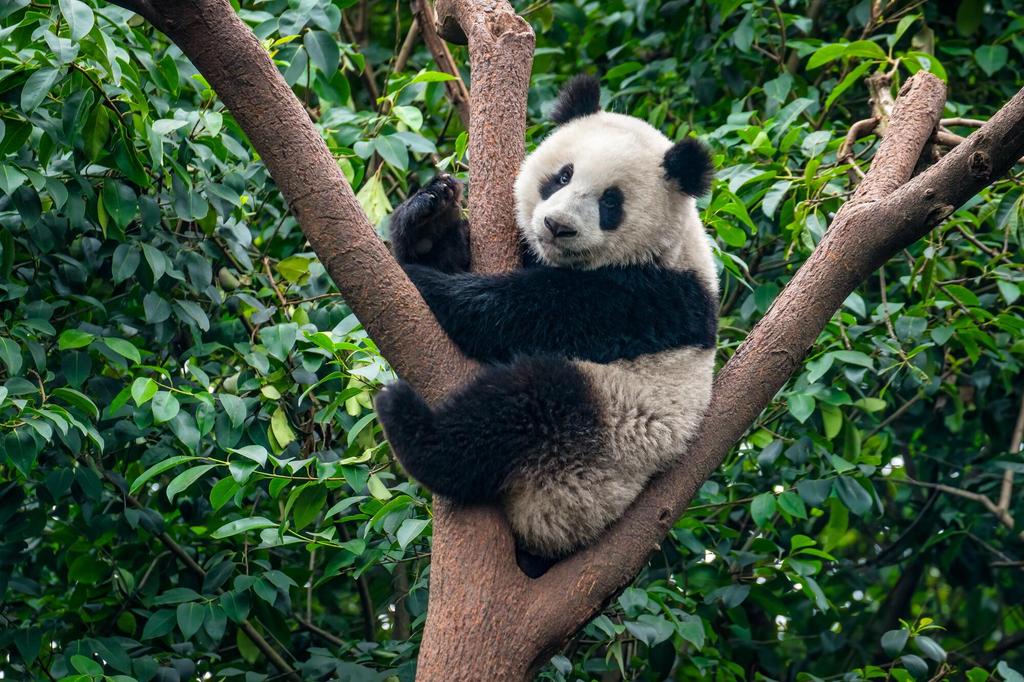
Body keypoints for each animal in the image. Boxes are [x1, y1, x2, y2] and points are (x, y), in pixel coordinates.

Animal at [374, 74, 718, 572]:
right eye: (563, 175)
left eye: (610, 202)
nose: (558, 226)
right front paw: (428, 219)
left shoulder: (653, 296)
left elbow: (532, 314)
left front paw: (430, 285)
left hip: (600, 448)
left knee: (529, 401)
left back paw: (412, 427)